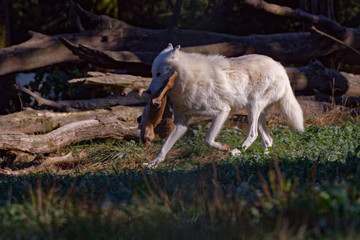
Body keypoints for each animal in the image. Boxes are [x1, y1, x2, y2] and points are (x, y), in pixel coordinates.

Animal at [143, 43, 304, 167]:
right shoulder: (181, 124)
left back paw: (235, 151)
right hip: (257, 114)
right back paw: (261, 158)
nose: (148, 91)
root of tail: (280, 67)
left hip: (253, 107)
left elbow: (208, 140)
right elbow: (164, 148)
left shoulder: (222, 111)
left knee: (253, 134)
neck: (191, 78)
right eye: (152, 73)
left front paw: (224, 148)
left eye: (158, 74)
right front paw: (152, 164)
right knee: (268, 140)